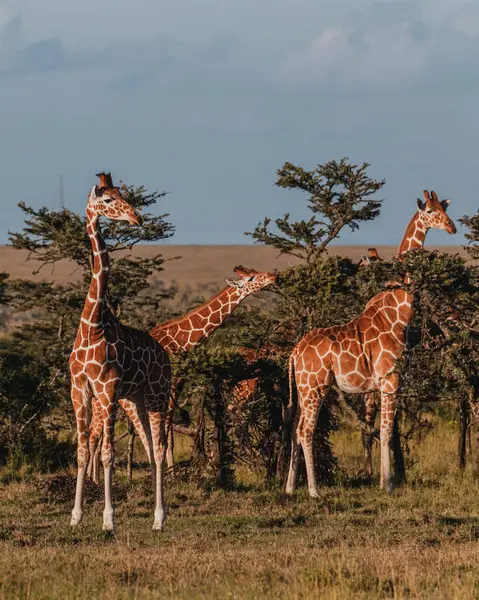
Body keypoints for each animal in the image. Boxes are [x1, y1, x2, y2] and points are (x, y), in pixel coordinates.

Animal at [69, 172, 171, 528]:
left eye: (123, 194)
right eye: (108, 199)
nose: (136, 217)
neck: (92, 325)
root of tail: (165, 355)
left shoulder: (108, 389)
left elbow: (108, 453)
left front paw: (108, 519)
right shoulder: (80, 390)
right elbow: (83, 451)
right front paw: (75, 516)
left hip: (157, 395)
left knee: (159, 449)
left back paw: (159, 519)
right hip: (136, 399)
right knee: (150, 449)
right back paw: (155, 516)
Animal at [86, 264, 280, 480]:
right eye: (251, 278)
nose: (273, 276)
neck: (181, 341)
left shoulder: (178, 385)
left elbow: (167, 429)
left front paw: (168, 472)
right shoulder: (169, 386)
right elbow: (166, 430)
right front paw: (170, 475)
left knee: (98, 434)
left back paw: (94, 478)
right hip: (102, 399)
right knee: (93, 434)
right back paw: (93, 480)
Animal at [284, 190, 458, 494]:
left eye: (444, 209)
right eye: (429, 212)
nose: (452, 227)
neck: (398, 314)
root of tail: (295, 352)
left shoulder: (384, 384)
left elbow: (381, 431)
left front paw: (385, 480)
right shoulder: (390, 379)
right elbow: (386, 432)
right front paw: (386, 484)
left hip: (303, 389)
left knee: (295, 428)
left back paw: (290, 488)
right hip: (315, 387)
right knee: (306, 430)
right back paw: (314, 491)